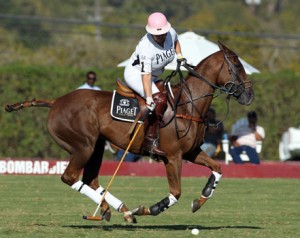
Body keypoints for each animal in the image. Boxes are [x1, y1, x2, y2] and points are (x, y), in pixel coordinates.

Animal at [4, 41, 253, 221]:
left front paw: (200, 200)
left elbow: (218, 168)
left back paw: (116, 209)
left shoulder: (191, 152)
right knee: (70, 177)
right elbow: (175, 193)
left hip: (95, 147)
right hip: (82, 146)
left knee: (90, 179)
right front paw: (148, 209)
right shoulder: (173, 156)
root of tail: (56, 102)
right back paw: (118, 210)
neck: (187, 104)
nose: (249, 95)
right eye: (237, 66)